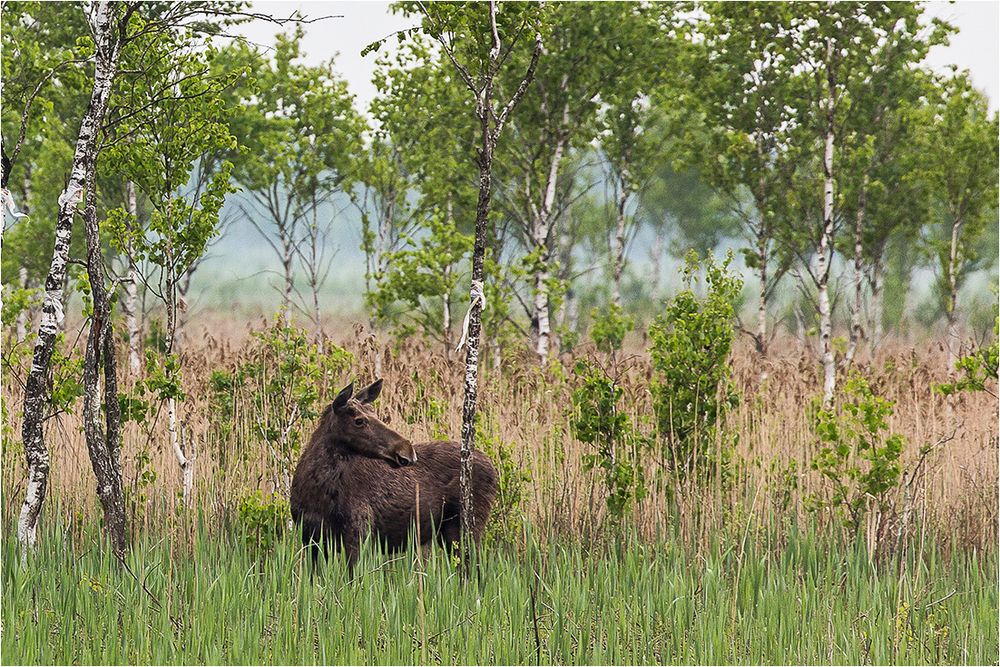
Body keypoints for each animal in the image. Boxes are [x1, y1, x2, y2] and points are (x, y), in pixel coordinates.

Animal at [290, 378, 500, 568]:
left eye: (374, 413)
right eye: (359, 421)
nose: (407, 450)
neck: (317, 492)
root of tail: (494, 468)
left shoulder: (358, 534)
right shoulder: (311, 539)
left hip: (467, 527)